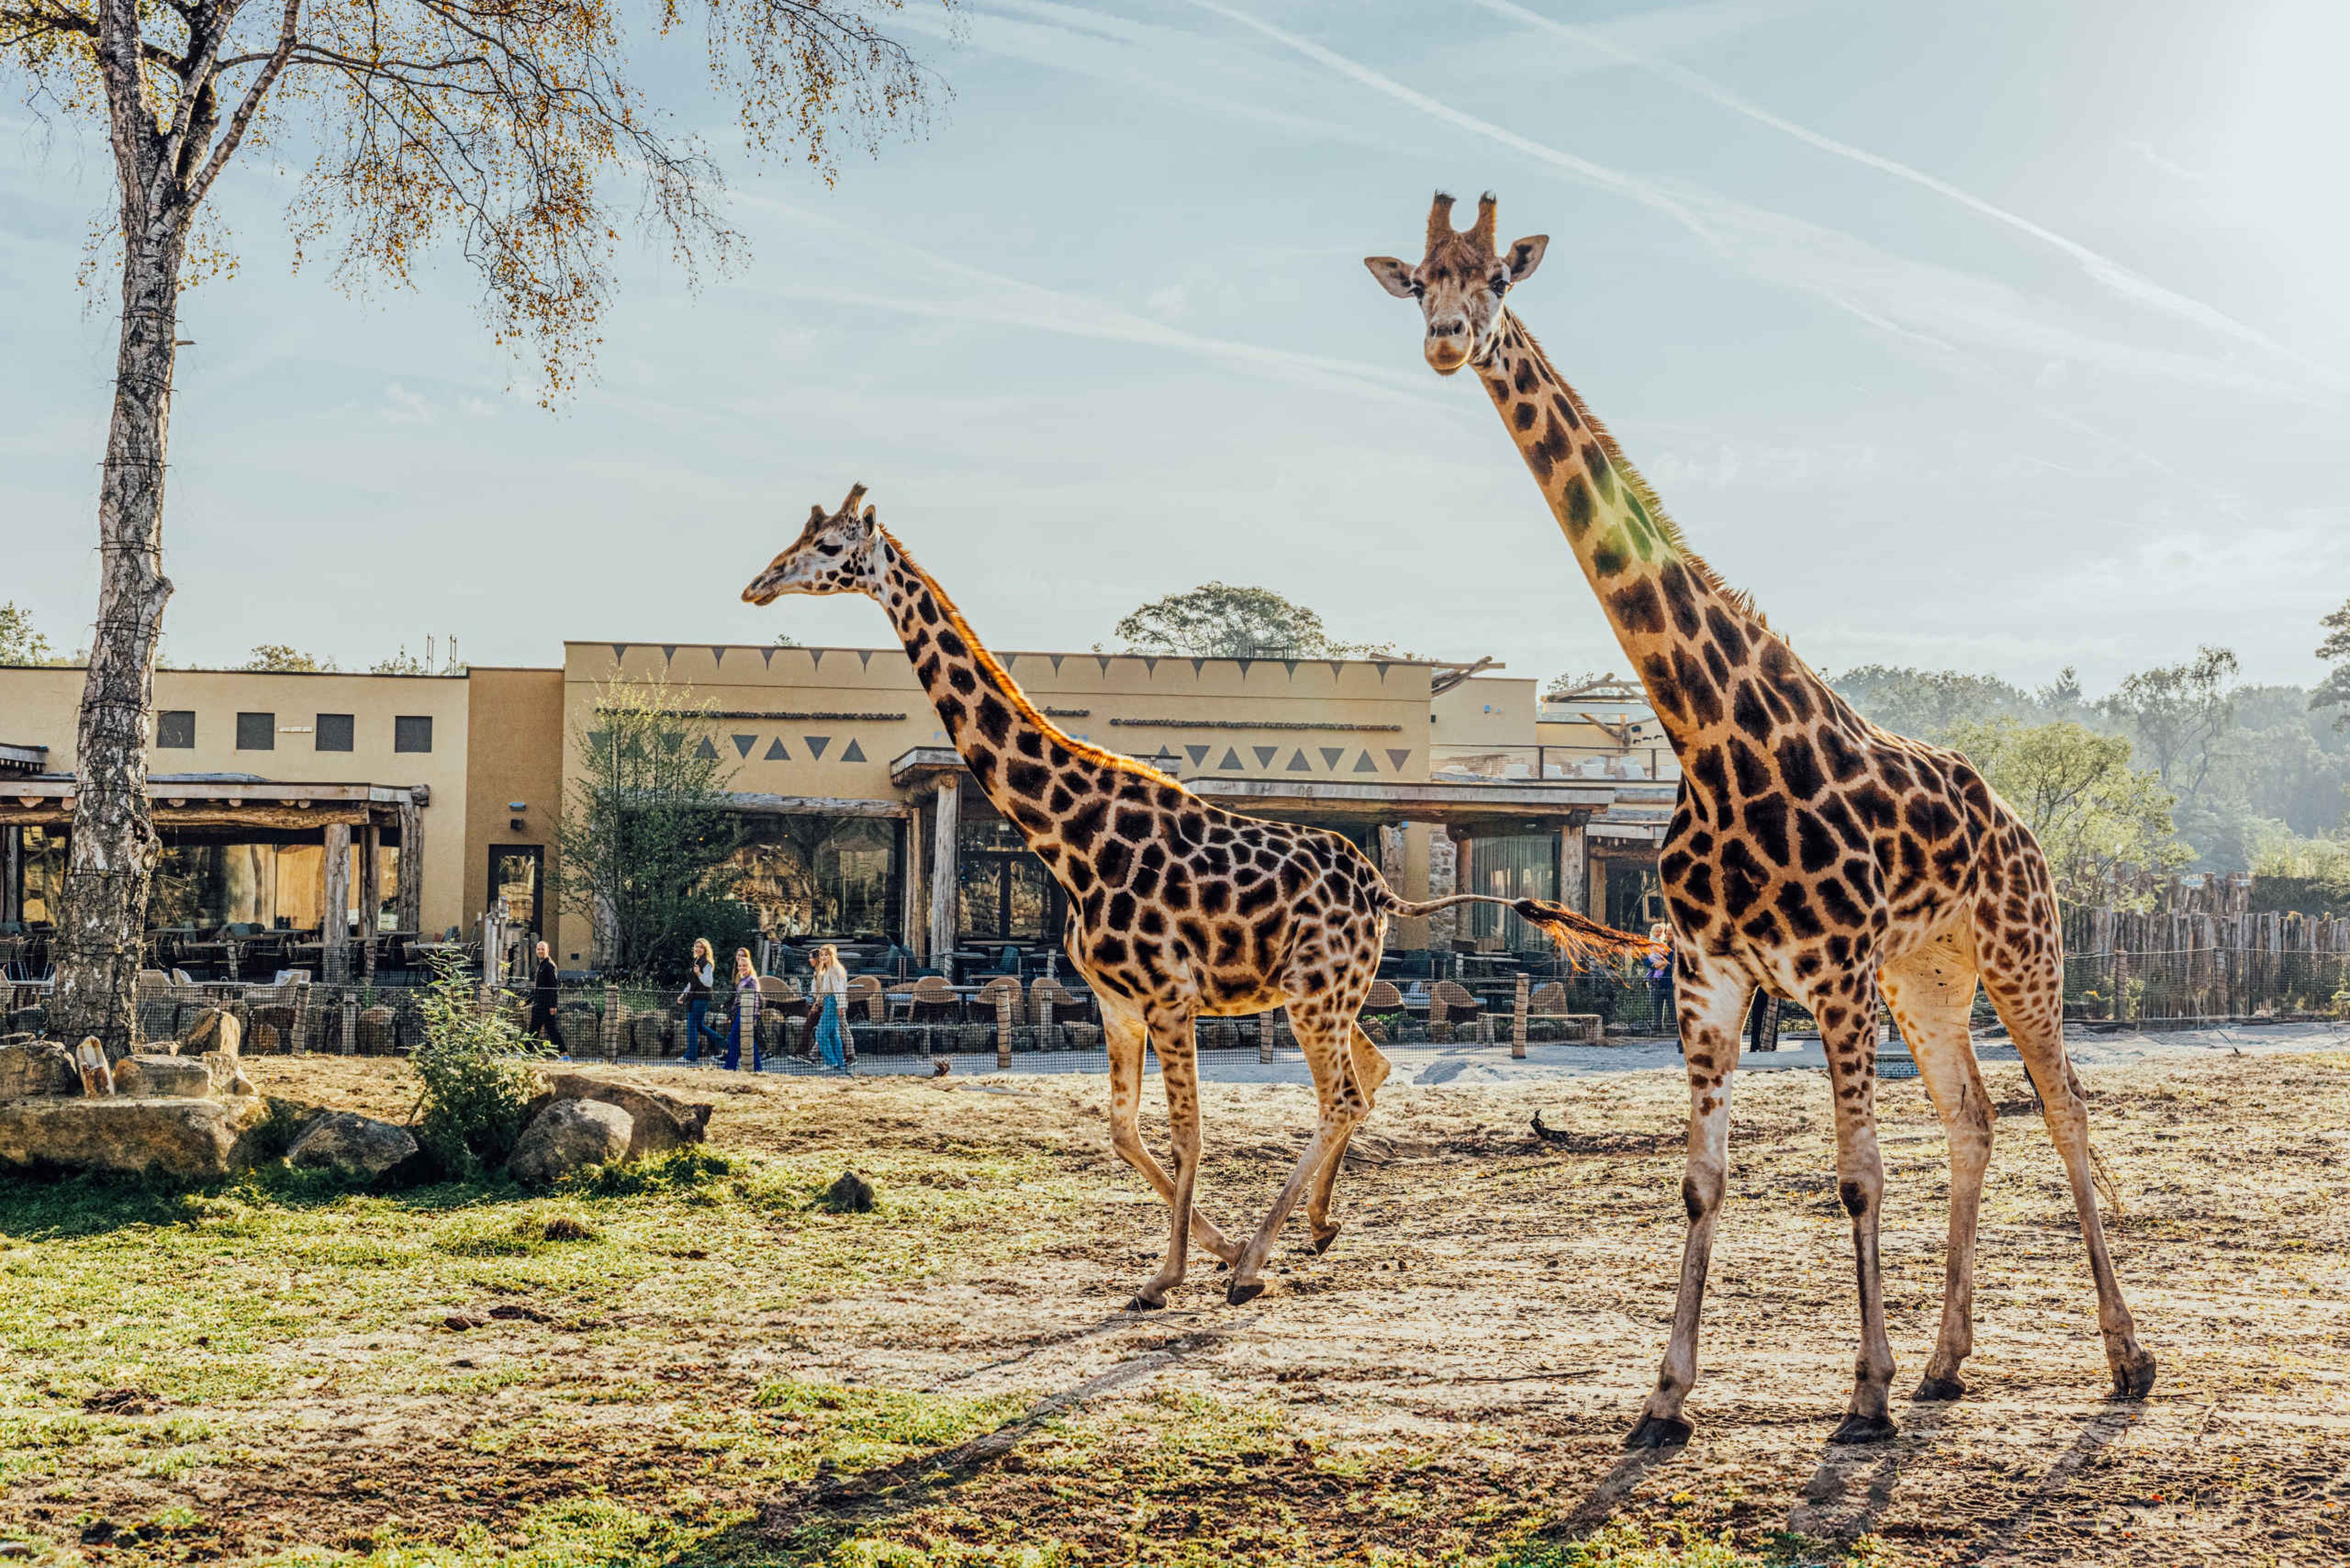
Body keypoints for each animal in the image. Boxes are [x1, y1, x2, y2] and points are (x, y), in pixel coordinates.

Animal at [743, 484, 1656, 1309]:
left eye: (830, 547)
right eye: (801, 536)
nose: (758, 584)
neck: (1074, 837)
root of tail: (1383, 893)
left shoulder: (1171, 995)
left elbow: (1188, 1129)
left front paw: (1175, 1272)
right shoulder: (1117, 1002)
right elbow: (1121, 1128)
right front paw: (1199, 1253)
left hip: (1318, 992)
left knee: (1343, 1092)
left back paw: (1257, 1263)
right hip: (1328, 992)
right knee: (1371, 1070)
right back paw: (1314, 1228)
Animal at [1366, 192, 2157, 1447]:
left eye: (1495, 278)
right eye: (1421, 281)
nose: (1447, 339)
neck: (1708, 736)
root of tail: (2022, 826)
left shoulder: (1829, 972)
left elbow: (1858, 1170)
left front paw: (1865, 1391)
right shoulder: (1710, 972)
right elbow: (1703, 1177)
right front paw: (1666, 1395)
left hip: (2022, 951)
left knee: (2064, 1108)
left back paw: (2125, 1359)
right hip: (1927, 973)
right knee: (1975, 1118)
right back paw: (1948, 1364)